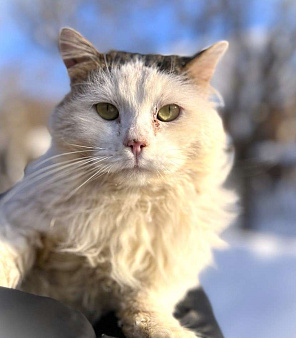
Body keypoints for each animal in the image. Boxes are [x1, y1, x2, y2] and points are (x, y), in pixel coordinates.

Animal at [0, 27, 236, 336]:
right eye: (107, 111)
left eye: (168, 113)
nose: (136, 143)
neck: (125, 206)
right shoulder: (19, 220)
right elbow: (9, 256)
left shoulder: (171, 266)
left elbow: (145, 301)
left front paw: (165, 329)